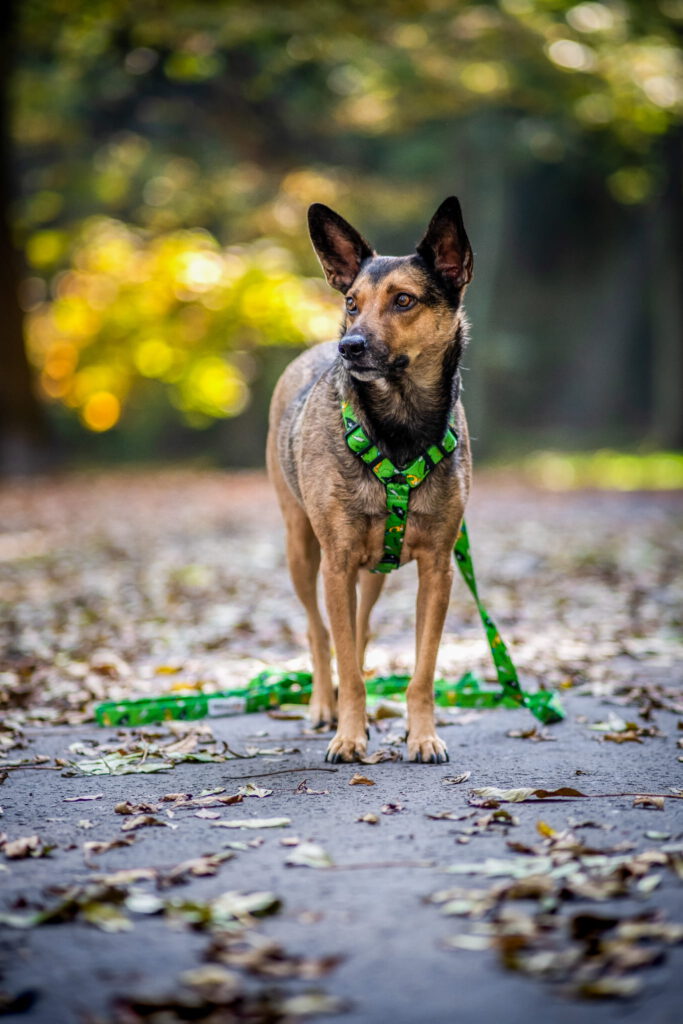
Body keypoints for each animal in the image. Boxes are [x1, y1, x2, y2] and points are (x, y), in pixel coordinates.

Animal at [264, 197, 473, 761]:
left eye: (404, 300)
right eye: (352, 302)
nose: (351, 347)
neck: (399, 429)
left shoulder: (438, 567)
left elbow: (422, 668)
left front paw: (422, 736)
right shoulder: (336, 563)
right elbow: (346, 662)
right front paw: (348, 736)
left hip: (374, 570)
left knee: (356, 633)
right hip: (301, 548)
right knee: (320, 634)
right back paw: (323, 706)